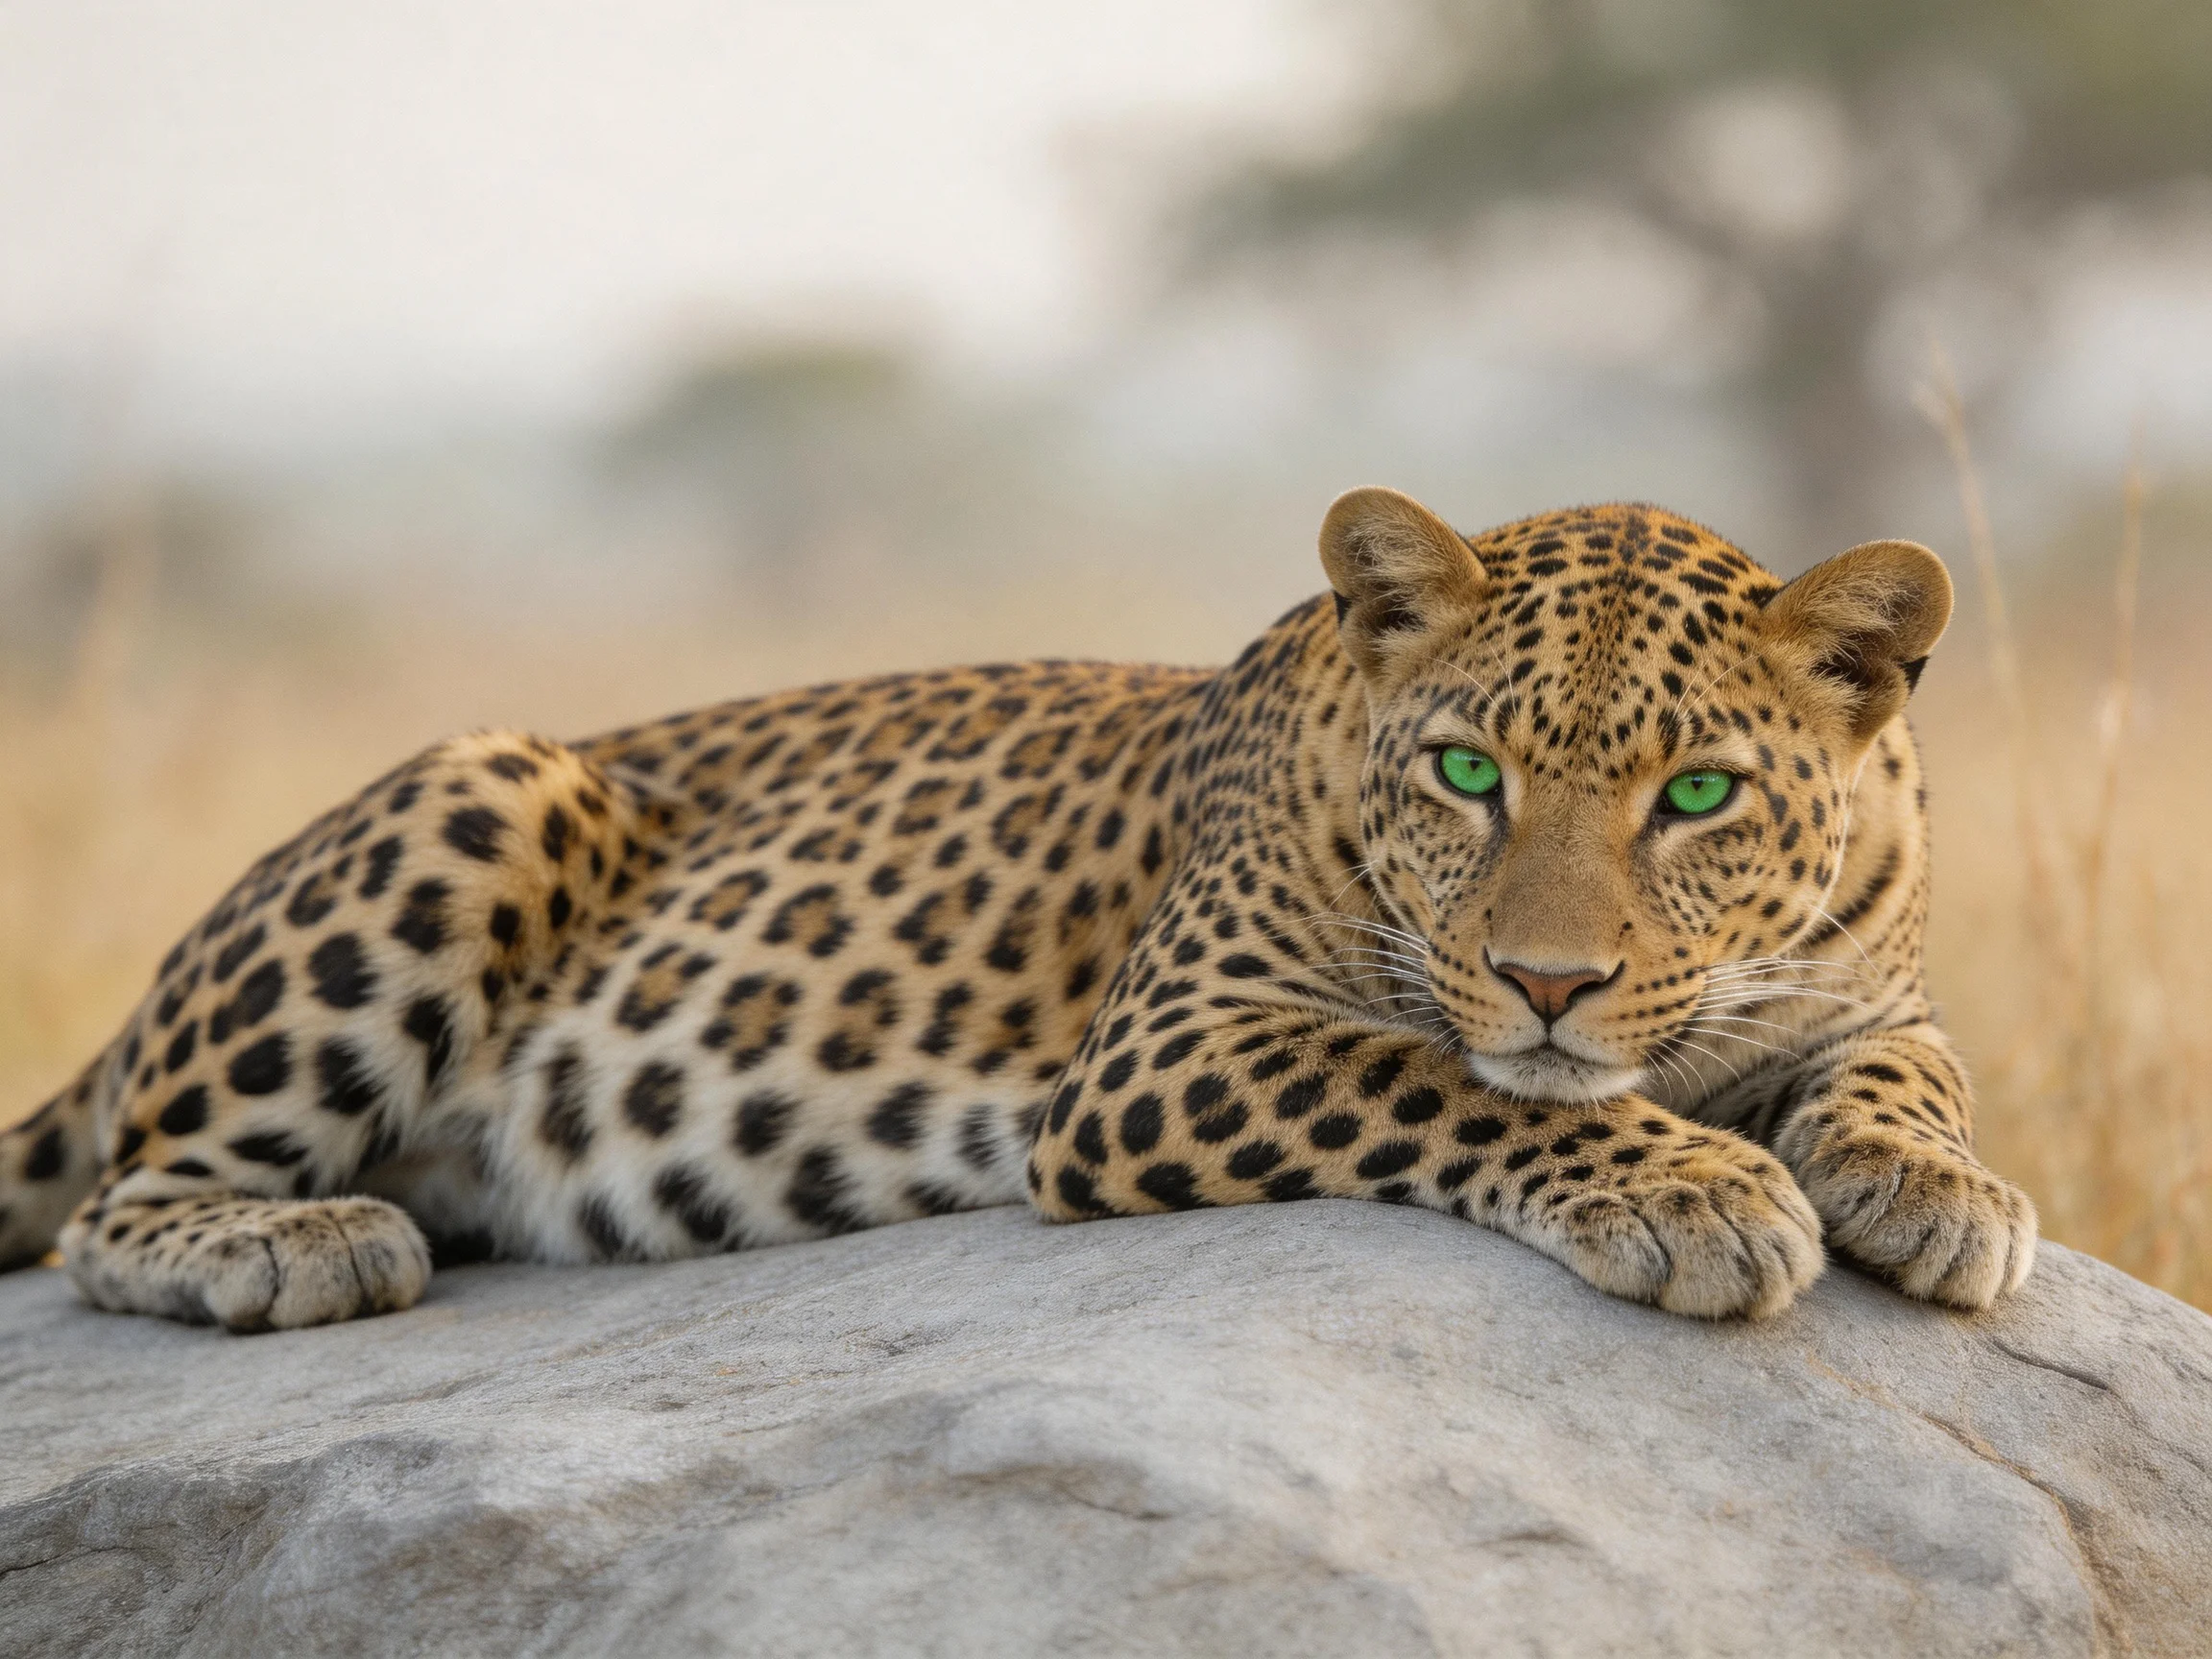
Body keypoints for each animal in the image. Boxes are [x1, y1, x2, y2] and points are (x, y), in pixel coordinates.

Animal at [0, 487, 2036, 1331]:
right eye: (1467, 773)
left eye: (1693, 795)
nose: (1547, 978)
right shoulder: (1167, 1048)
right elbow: (1433, 1077)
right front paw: (1690, 1188)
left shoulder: (1878, 996)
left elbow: (1906, 1077)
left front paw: (1940, 1197)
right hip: (481, 787)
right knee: (113, 1204)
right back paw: (301, 1243)